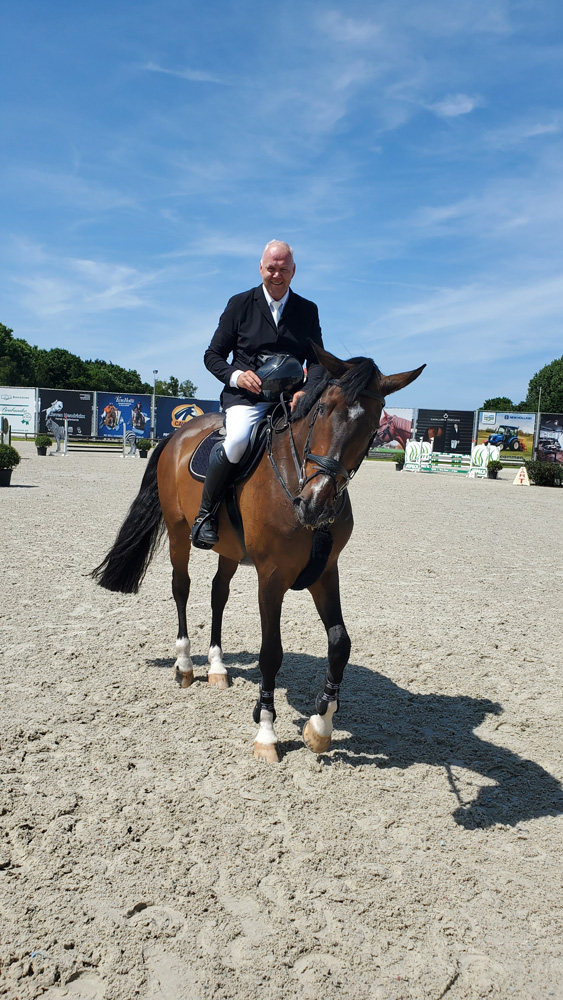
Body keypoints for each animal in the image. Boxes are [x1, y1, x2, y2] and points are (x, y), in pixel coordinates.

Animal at [93, 346, 424, 762]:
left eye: (372, 425)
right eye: (323, 409)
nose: (314, 506)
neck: (294, 476)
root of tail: (177, 435)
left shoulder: (325, 571)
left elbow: (340, 644)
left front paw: (320, 726)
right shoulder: (271, 577)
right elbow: (271, 653)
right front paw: (266, 731)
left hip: (230, 551)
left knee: (218, 594)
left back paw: (217, 667)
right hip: (179, 533)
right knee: (181, 588)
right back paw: (184, 664)